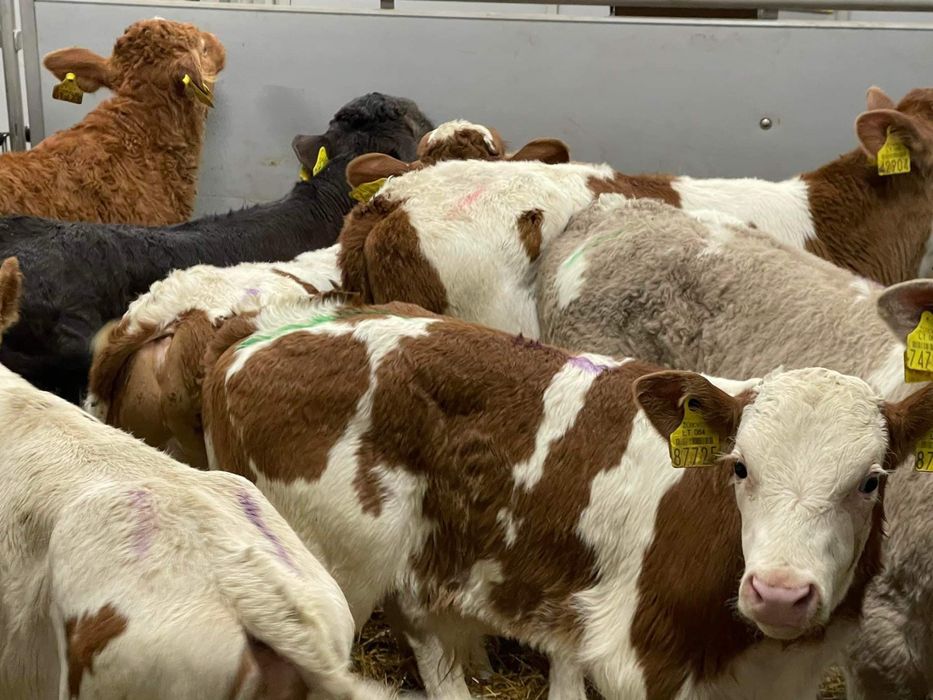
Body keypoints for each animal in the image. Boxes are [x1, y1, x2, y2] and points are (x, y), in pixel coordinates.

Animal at [200, 296, 928, 700]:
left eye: (870, 481)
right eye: (740, 468)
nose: (779, 592)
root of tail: (254, 339)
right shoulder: (644, 661)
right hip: (331, 568)